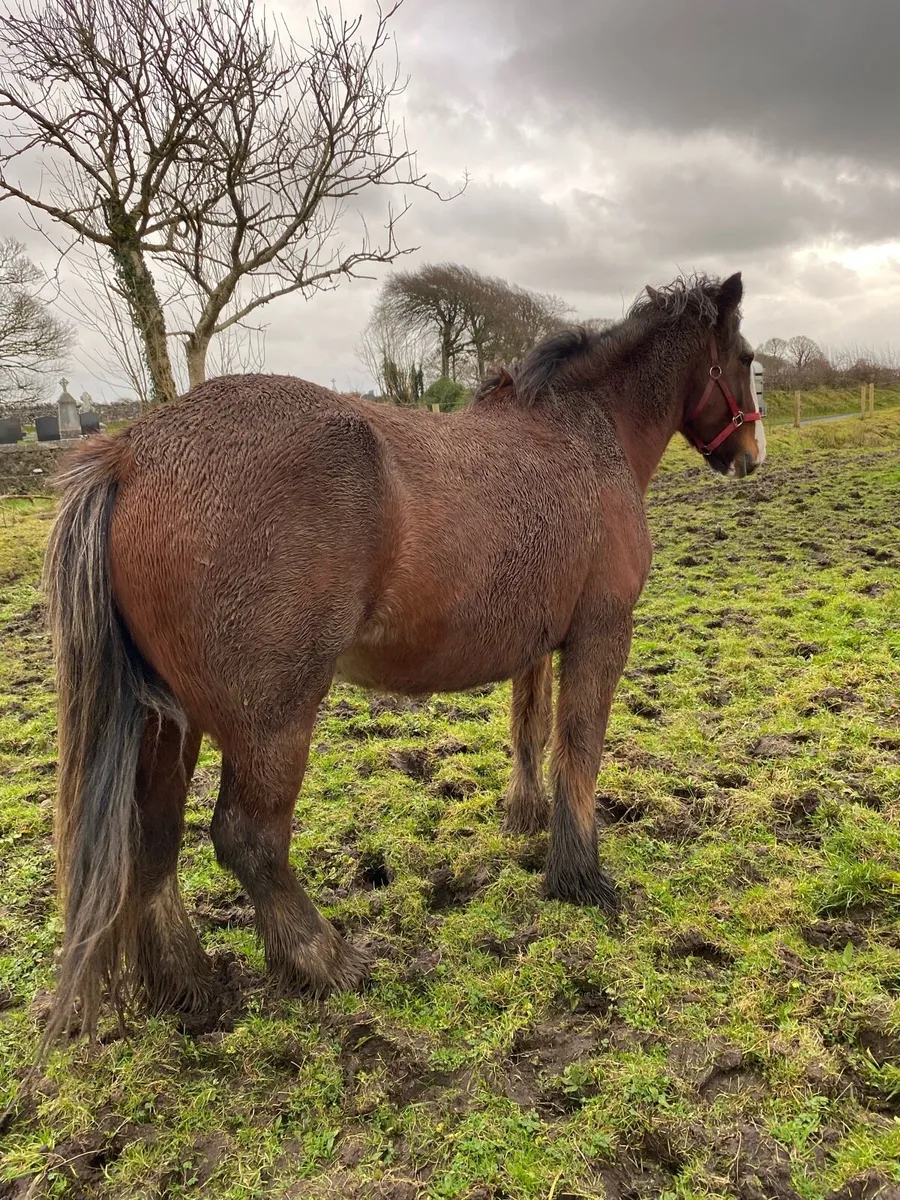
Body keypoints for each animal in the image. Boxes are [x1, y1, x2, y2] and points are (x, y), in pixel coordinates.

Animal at [41, 271, 765, 1044]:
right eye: (747, 358)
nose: (753, 454)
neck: (584, 433)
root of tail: (128, 454)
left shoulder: (537, 644)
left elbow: (531, 730)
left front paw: (525, 818)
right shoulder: (601, 635)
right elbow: (579, 748)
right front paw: (578, 876)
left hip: (168, 723)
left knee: (153, 839)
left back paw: (189, 984)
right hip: (271, 720)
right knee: (247, 837)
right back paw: (324, 960)